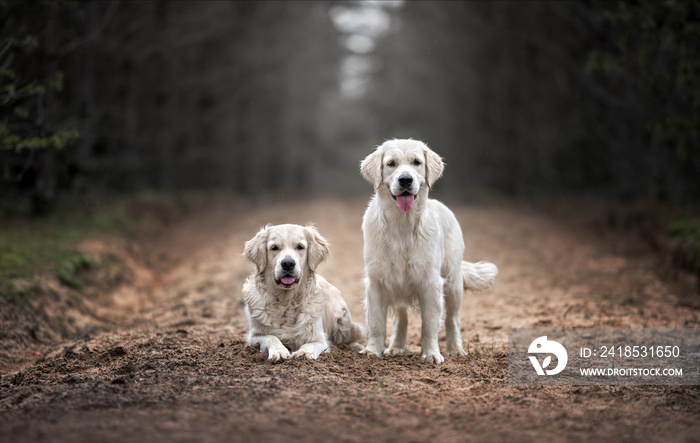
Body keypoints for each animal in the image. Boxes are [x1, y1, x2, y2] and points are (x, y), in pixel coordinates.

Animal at [242, 224, 364, 362]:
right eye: (274, 248)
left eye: (300, 247)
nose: (288, 263)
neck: (286, 302)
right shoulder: (254, 336)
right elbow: (272, 337)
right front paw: (279, 351)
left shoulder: (319, 339)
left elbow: (309, 344)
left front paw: (304, 353)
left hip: (342, 322)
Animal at [360, 139, 498, 364]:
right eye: (391, 163)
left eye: (417, 162)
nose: (405, 180)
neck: (402, 225)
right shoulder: (376, 281)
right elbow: (376, 322)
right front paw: (372, 350)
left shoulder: (431, 283)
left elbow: (430, 324)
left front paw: (432, 354)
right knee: (401, 317)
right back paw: (396, 347)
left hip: (453, 282)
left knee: (452, 319)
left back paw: (455, 349)